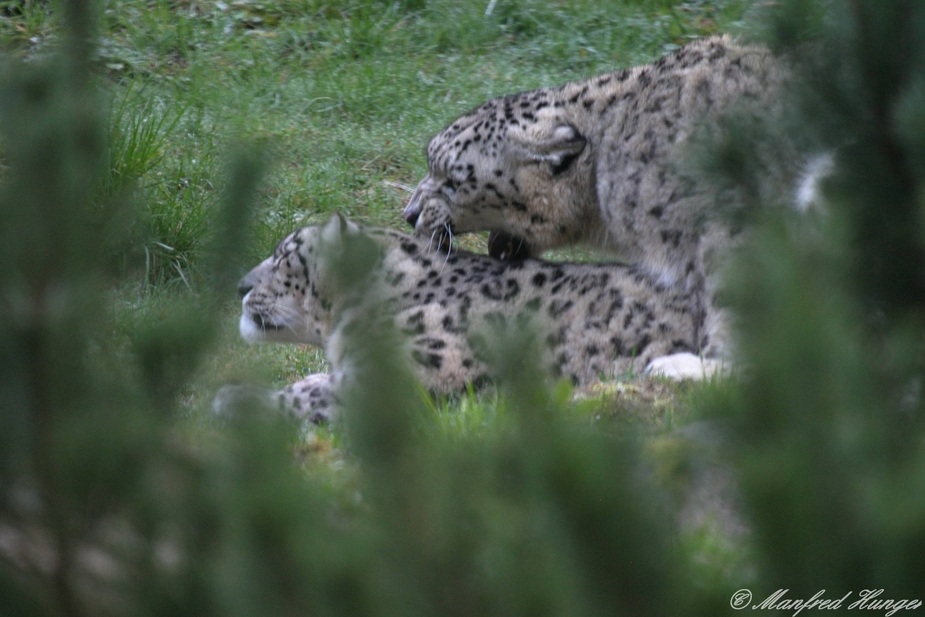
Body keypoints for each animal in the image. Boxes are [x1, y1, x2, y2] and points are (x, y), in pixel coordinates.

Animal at [217, 214, 704, 422]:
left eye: (284, 256)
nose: (239, 285)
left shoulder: (408, 373)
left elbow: (310, 396)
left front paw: (233, 401)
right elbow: (312, 382)